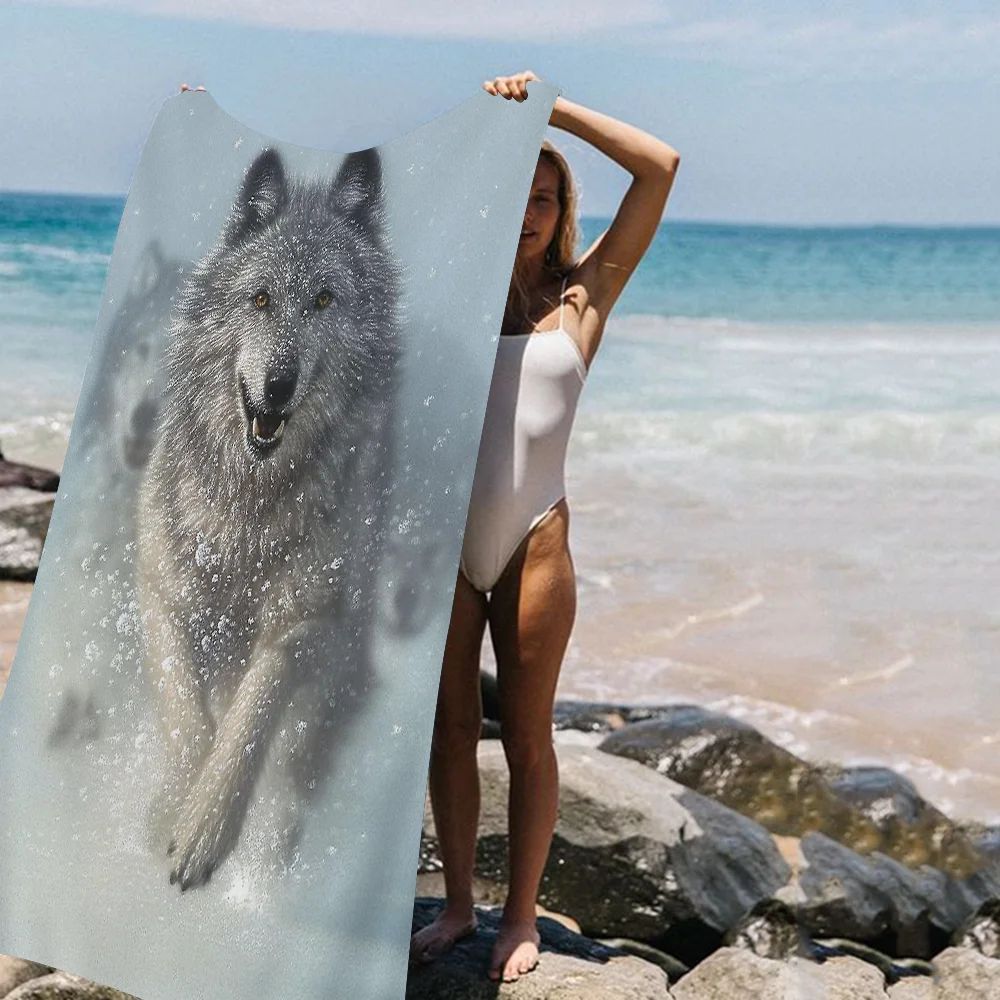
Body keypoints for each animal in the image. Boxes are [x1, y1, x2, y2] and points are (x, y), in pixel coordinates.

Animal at [137, 144, 403, 891]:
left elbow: (248, 719)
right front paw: (178, 805)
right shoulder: (162, 595)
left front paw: (205, 826)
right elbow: (185, 715)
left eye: (323, 300)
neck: (248, 505)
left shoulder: (303, 624)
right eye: (259, 299)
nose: (278, 387)